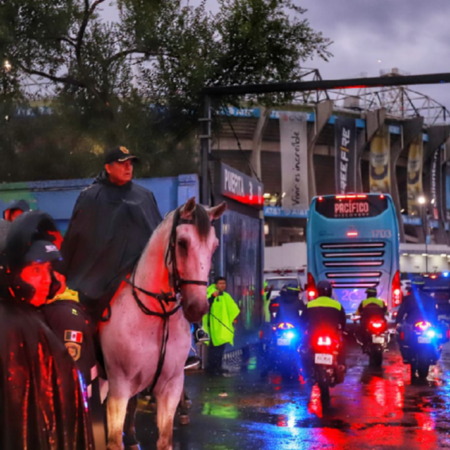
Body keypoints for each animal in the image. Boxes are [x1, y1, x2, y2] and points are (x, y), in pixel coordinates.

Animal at [98, 199, 225, 450]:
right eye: (183, 243)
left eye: (214, 246)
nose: (197, 307)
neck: (156, 315)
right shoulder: (119, 387)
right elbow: (114, 439)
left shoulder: (171, 386)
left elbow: (164, 438)